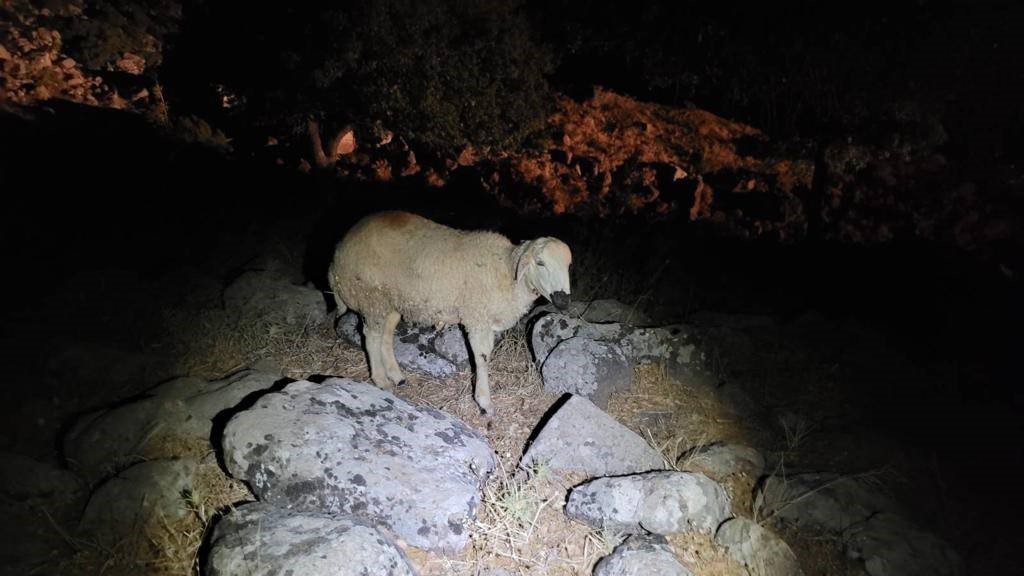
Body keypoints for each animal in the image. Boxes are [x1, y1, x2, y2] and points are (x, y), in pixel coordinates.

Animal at [327, 211, 573, 412]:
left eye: (568, 265)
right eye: (540, 263)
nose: (563, 300)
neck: (505, 271)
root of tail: (339, 249)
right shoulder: (477, 316)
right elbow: (482, 357)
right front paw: (484, 402)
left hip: (393, 302)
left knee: (385, 337)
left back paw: (396, 376)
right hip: (372, 297)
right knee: (371, 337)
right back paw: (381, 380)